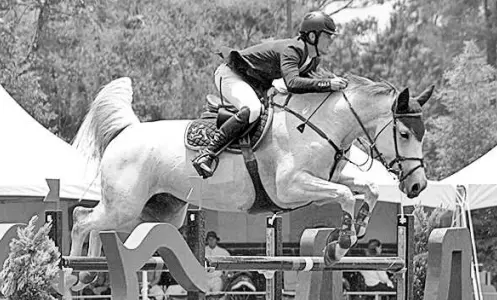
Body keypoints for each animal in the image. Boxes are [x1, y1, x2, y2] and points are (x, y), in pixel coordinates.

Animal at [67, 74, 434, 292]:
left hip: (159, 211)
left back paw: (89, 272)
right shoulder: (290, 187)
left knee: (99, 226)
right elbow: (345, 195)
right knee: (81, 219)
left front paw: (352, 233)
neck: (322, 125)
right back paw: (74, 271)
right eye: (404, 133)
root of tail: (126, 132)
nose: (418, 187)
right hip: (125, 206)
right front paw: (340, 244)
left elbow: (367, 190)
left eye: (422, 133)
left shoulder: (327, 178)